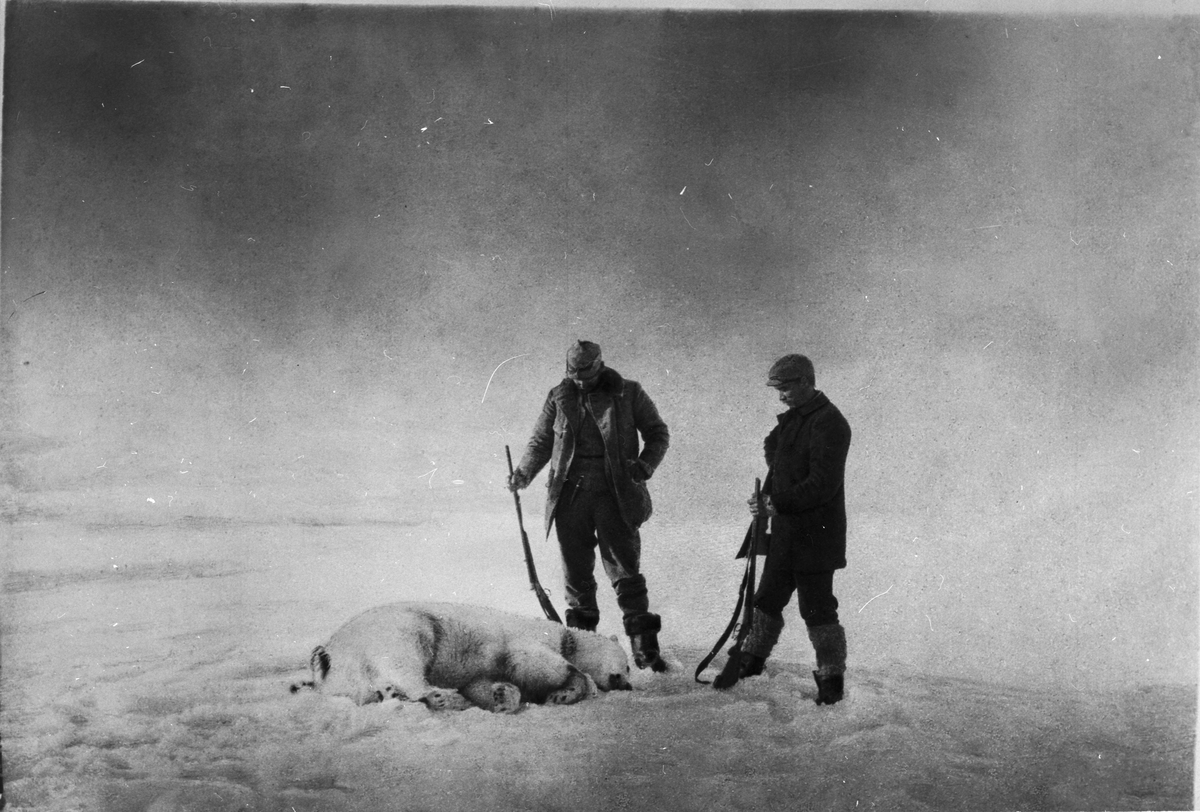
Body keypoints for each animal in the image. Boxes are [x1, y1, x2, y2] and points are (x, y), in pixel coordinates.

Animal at [291, 599, 633, 714]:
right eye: (629, 665)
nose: (626, 684)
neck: (564, 636)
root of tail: (329, 651)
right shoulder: (531, 640)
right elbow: (540, 663)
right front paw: (564, 691)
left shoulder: (482, 669)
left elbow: (482, 682)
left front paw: (501, 695)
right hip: (403, 626)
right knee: (406, 661)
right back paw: (441, 696)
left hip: (351, 673)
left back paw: (392, 694)